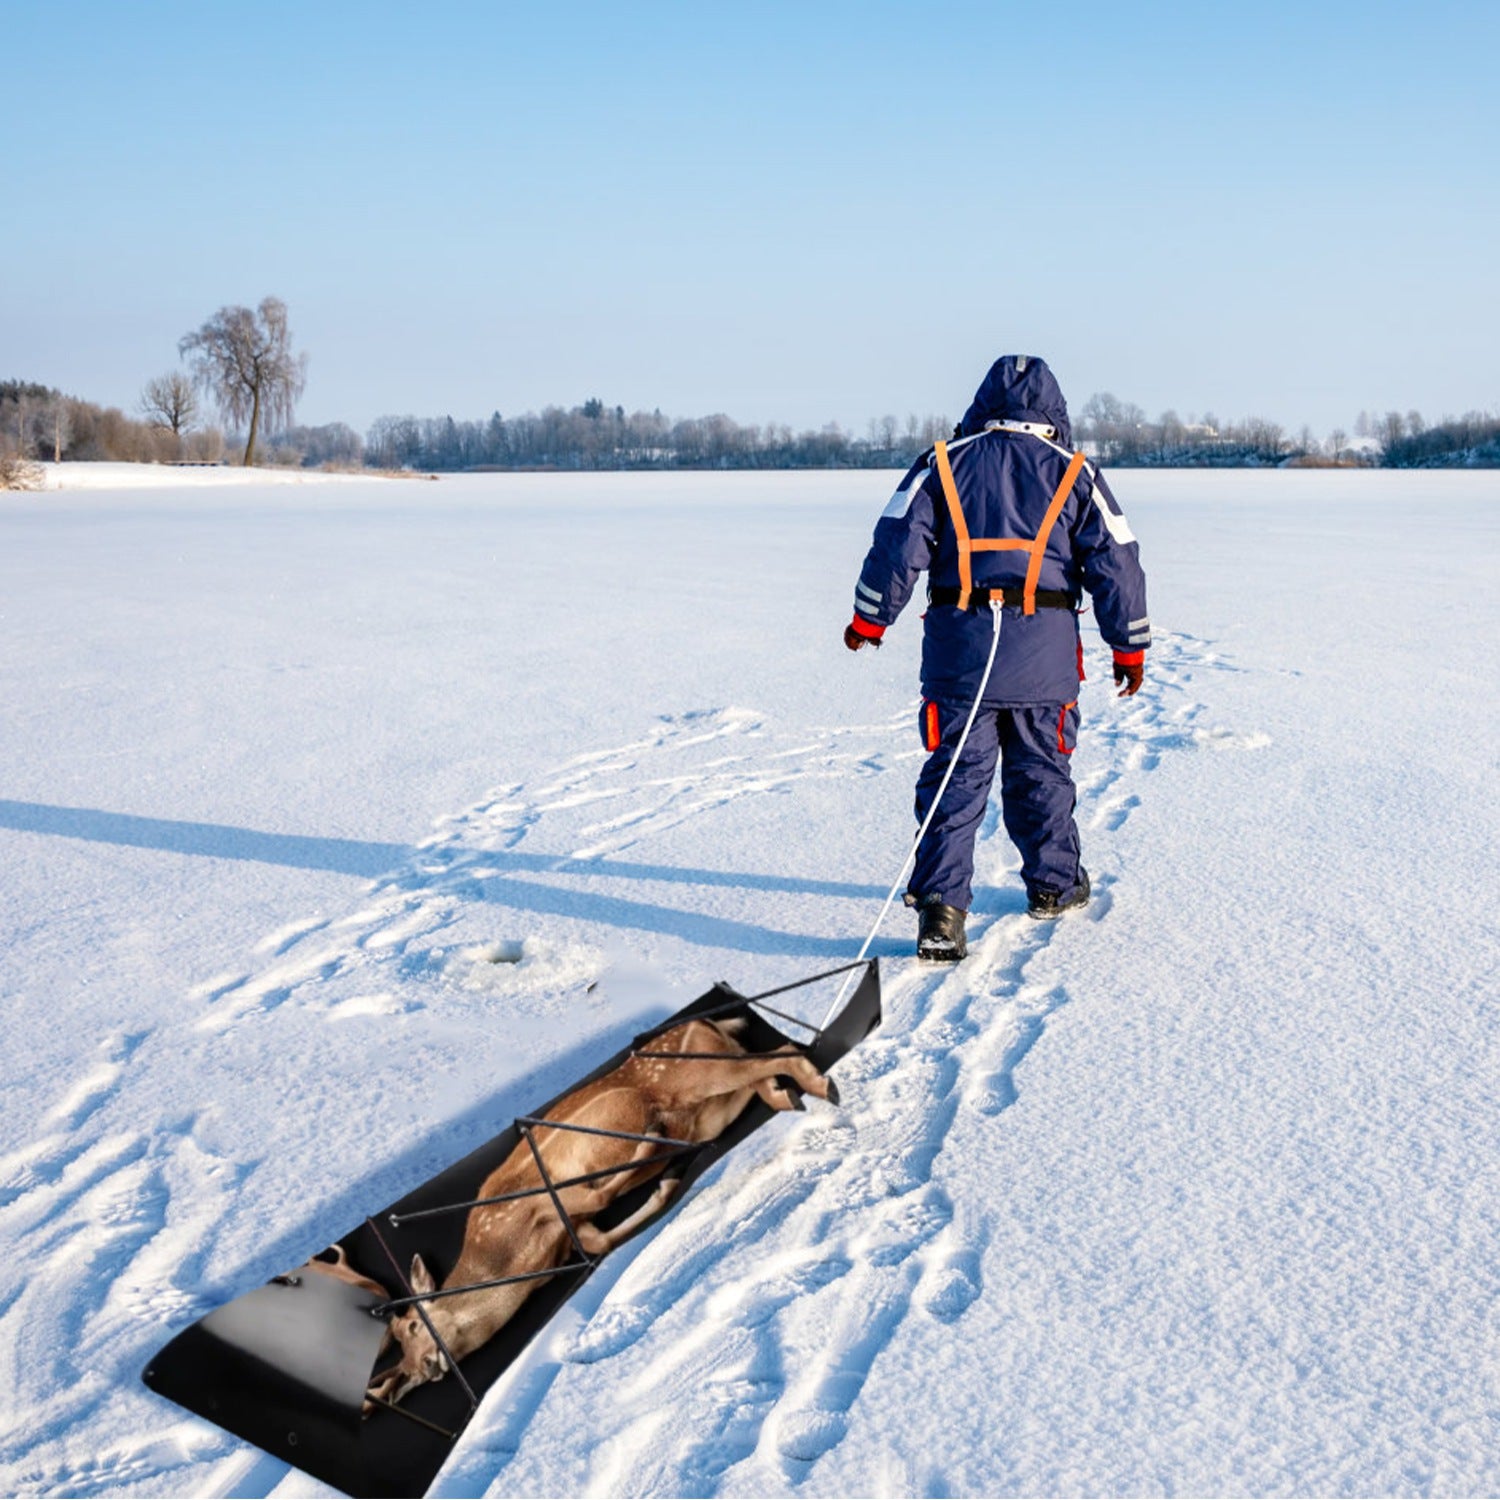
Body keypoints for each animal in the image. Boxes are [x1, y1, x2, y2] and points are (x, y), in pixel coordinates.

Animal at [363, 1016, 838, 1412]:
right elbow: (599, 1239)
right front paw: (665, 1182)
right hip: (711, 1109)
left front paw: (651, 1151)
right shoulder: (572, 1230)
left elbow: (597, 1198)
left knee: (778, 1051)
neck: (513, 1258)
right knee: (758, 1074)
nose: (424, 1367)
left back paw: (818, 1088)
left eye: (411, 1326)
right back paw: (785, 1095)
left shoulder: (541, 1197)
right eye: (402, 1363)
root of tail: (711, 1021)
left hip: (695, 1075)